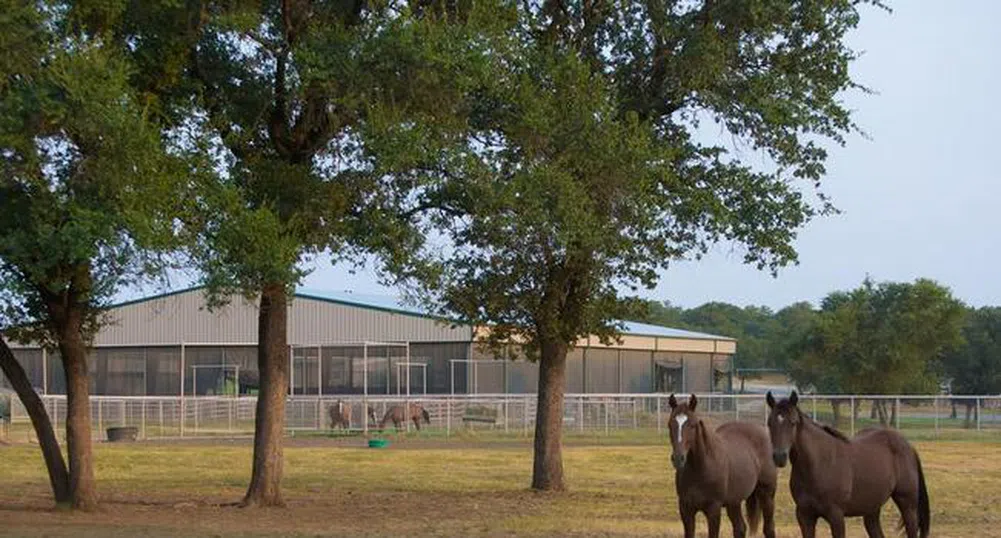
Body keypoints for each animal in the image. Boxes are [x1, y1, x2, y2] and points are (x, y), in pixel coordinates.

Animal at [668, 390, 776, 536]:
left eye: (692, 425)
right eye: (670, 424)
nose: (678, 458)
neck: (701, 467)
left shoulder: (714, 509)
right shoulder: (686, 509)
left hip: (767, 495)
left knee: (769, 528)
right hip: (734, 502)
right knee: (740, 528)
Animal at [764, 390, 928, 536]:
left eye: (793, 423)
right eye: (770, 423)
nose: (779, 456)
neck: (818, 465)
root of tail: (908, 446)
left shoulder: (836, 516)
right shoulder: (805, 516)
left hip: (907, 504)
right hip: (871, 510)